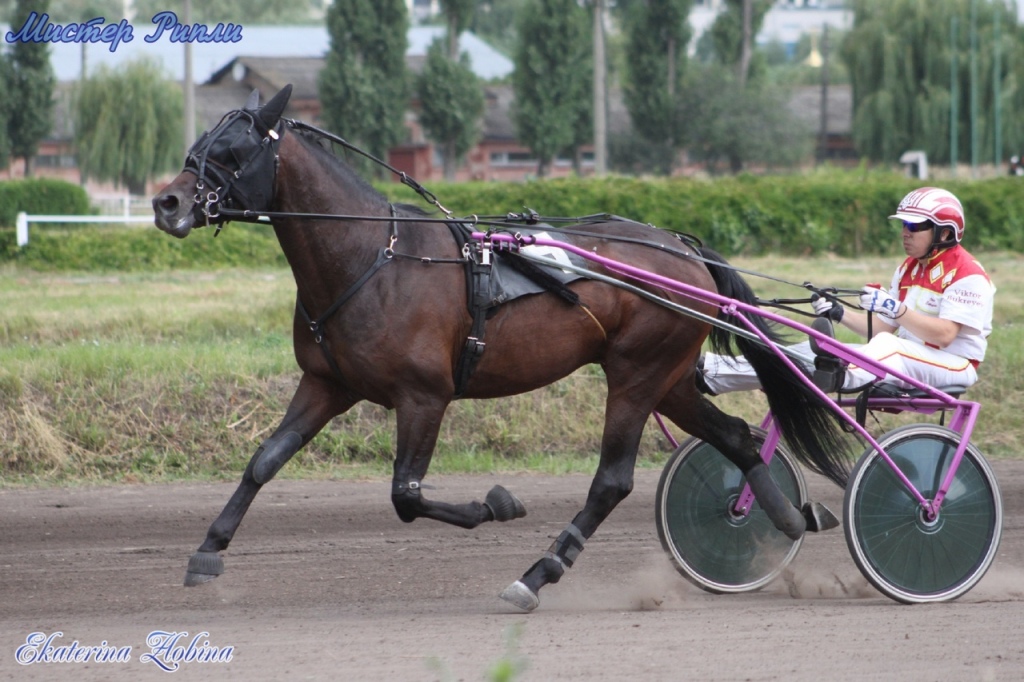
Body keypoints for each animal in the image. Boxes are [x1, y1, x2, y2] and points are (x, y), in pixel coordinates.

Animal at [148, 84, 843, 610]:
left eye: (232, 152)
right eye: (196, 147)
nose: (167, 202)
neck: (373, 257)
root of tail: (683, 248)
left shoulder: (423, 396)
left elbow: (405, 496)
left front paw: (498, 504)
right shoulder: (327, 384)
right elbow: (264, 460)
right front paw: (208, 550)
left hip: (637, 375)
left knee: (612, 481)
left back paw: (538, 574)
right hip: (667, 377)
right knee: (737, 438)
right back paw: (786, 520)